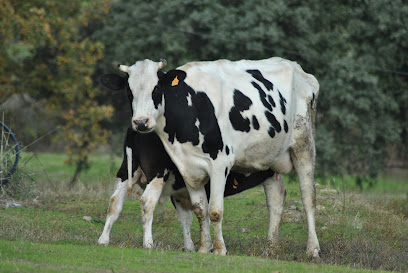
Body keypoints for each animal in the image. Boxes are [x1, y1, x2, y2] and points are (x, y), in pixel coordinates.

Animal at [100, 56, 320, 256]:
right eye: (129, 91)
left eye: (156, 89)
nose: (140, 122)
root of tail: (298, 69)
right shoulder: (188, 168)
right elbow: (200, 210)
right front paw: (204, 248)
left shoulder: (219, 164)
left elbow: (214, 211)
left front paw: (220, 249)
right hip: (268, 161)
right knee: (276, 199)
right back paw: (271, 248)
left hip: (304, 144)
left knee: (308, 197)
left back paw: (312, 250)